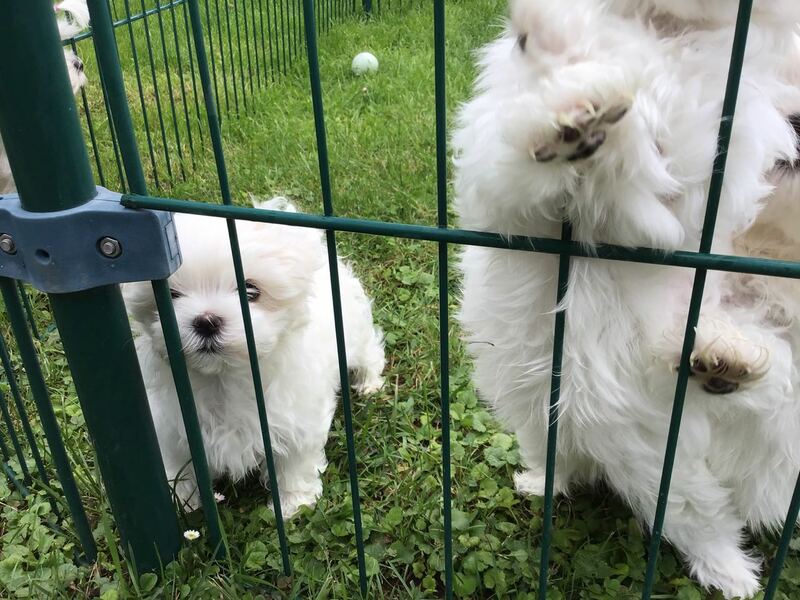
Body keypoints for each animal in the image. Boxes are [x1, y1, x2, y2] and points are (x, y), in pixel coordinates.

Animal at [123, 198, 385, 518]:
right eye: (169, 294)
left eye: (251, 291)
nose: (206, 321)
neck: (225, 379)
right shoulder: (172, 425)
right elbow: (179, 468)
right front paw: (184, 502)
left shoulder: (297, 418)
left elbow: (295, 461)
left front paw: (293, 504)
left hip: (352, 332)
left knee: (369, 351)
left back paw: (369, 383)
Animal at [455, 0, 800, 596]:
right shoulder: (507, 174)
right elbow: (532, 137)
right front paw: (561, 74)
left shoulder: (711, 150)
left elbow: (670, 150)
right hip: (579, 427)